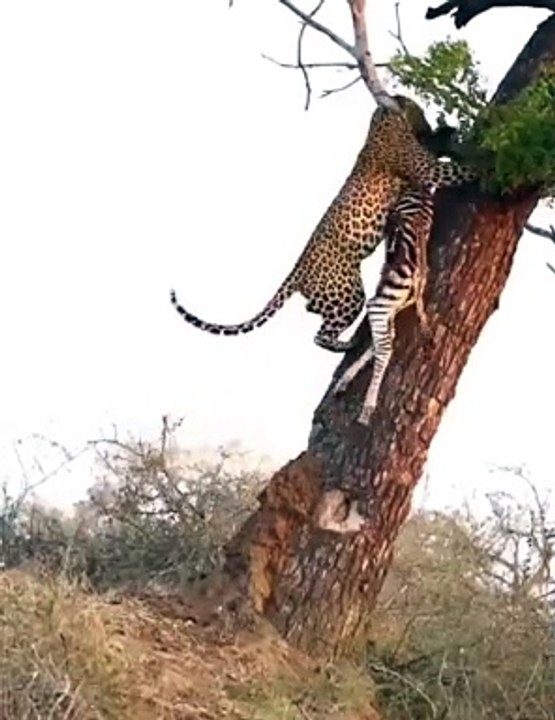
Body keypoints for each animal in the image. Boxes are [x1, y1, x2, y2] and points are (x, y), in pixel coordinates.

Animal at [170, 95, 478, 352]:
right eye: (420, 111)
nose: (428, 123)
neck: (381, 122)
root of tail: (297, 271)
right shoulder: (428, 169)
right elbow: (457, 170)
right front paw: (484, 165)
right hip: (348, 293)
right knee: (320, 335)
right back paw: (349, 343)